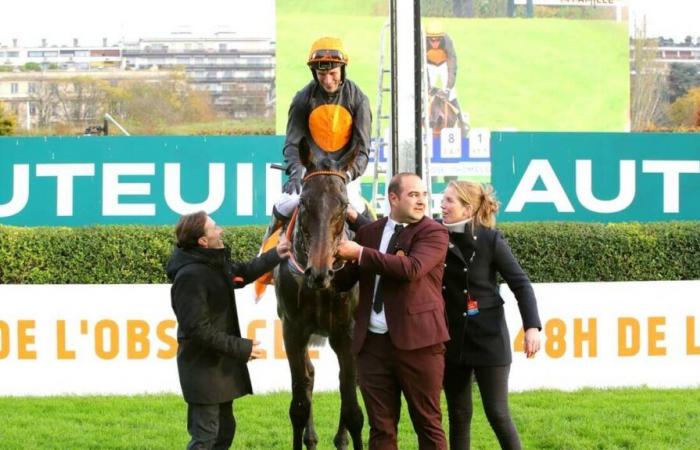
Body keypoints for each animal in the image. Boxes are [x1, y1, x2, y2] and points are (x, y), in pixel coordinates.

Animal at [274, 152, 364, 450]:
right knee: (310, 375)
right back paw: (312, 439)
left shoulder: (346, 331)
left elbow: (352, 407)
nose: (319, 272)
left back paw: (340, 439)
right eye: (304, 202)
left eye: (343, 203)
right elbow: (299, 403)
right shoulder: (292, 329)